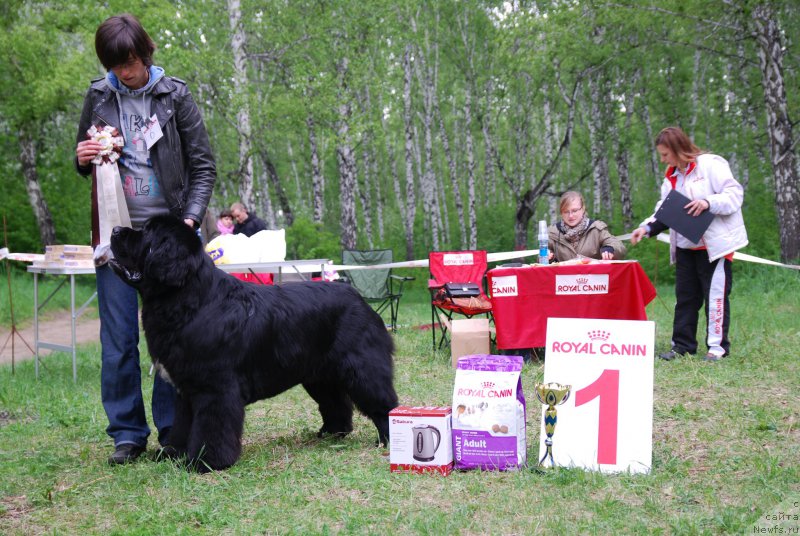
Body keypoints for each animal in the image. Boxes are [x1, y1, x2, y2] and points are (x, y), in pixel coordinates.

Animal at [111, 216, 398, 472]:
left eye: (147, 233)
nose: (114, 230)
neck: (191, 300)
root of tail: (358, 298)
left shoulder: (215, 388)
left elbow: (211, 428)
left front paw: (204, 462)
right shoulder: (187, 389)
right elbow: (183, 424)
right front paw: (173, 453)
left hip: (362, 367)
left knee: (382, 402)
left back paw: (387, 440)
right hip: (319, 375)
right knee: (336, 402)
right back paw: (330, 433)